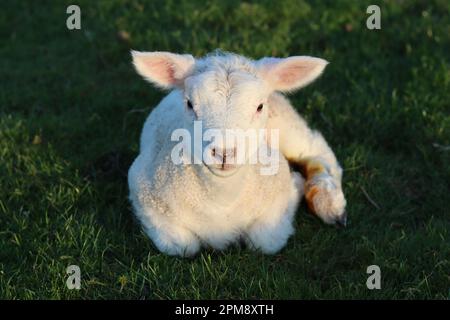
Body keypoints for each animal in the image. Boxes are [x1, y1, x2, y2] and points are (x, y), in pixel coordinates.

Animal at [127, 50, 348, 258]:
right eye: (189, 104)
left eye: (259, 106)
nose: (224, 153)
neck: (222, 202)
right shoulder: (143, 193)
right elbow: (182, 246)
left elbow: (265, 240)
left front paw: (297, 184)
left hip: (285, 123)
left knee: (315, 149)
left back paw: (329, 203)